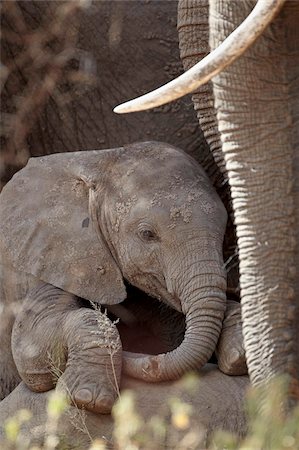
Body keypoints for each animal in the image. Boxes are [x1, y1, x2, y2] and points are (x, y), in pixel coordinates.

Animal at [0, 142, 246, 414]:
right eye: (147, 234)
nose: (148, 363)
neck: (99, 162)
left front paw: (239, 354)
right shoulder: (45, 254)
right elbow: (30, 349)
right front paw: (87, 399)